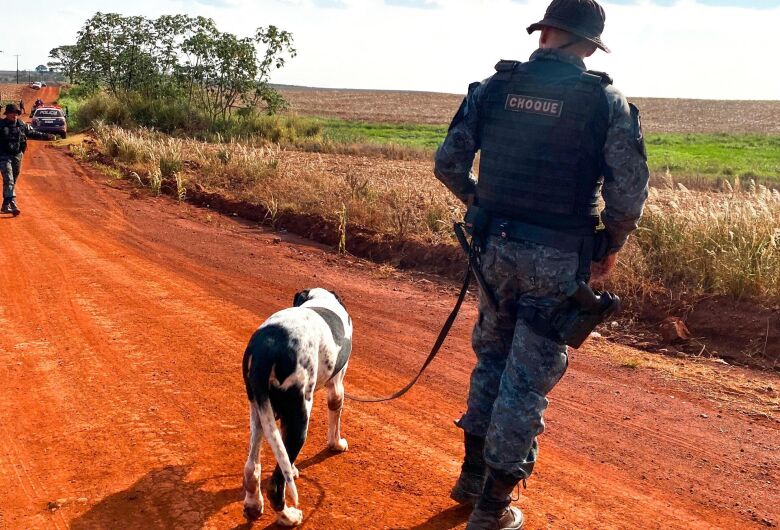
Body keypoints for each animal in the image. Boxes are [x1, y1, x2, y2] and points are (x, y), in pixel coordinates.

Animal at [242, 288, 352, 524]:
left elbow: (283, 458)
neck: (320, 298)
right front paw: (337, 444)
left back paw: (254, 506)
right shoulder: (336, 387)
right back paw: (289, 517)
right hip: (299, 416)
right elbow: (335, 419)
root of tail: (268, 346)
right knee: (276, 485)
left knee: (252, 467)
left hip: (260, 410)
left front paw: (291, 469)